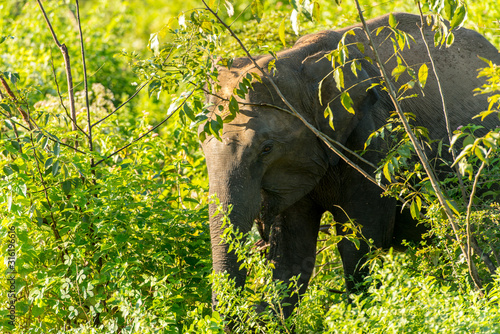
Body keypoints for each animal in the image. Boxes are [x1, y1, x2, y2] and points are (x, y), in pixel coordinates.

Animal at [201, 11, 500, 318]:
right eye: (202, 146)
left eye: (267, 148)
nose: (259, 236)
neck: (301, 62)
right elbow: (291, 253)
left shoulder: (373, 143)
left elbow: (362, 240)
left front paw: (360, 315)